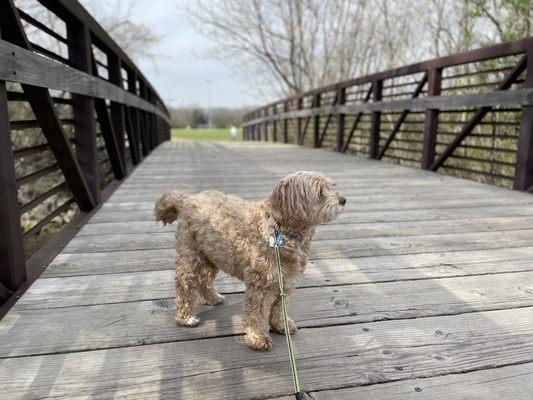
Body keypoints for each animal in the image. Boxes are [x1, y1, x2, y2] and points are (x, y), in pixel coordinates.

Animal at [154, 172, 344, 350]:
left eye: (330, 186)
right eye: (320, 193)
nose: (343, 199)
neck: (281, 231)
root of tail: (187, 199)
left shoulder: (286, 283)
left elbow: (279, 308)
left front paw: (281, 325)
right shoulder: (260, 285)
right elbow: (257, 315)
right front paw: (258, 338)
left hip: (211, 256)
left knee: (204, 280)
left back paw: (213, 298)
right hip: (191, 256)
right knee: (184, 286)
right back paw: (185, 318)